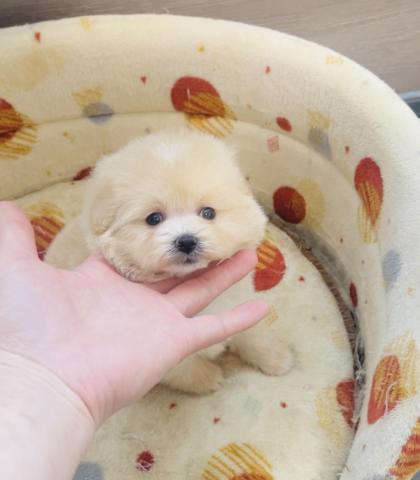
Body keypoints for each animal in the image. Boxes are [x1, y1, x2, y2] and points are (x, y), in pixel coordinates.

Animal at [46, 129, 294, 394]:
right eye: (154, 218)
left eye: (208, 213)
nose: (186, 241)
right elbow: (186, 367)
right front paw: (209, 379)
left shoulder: (239, 301)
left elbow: (254, 334)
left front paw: (277, 358)